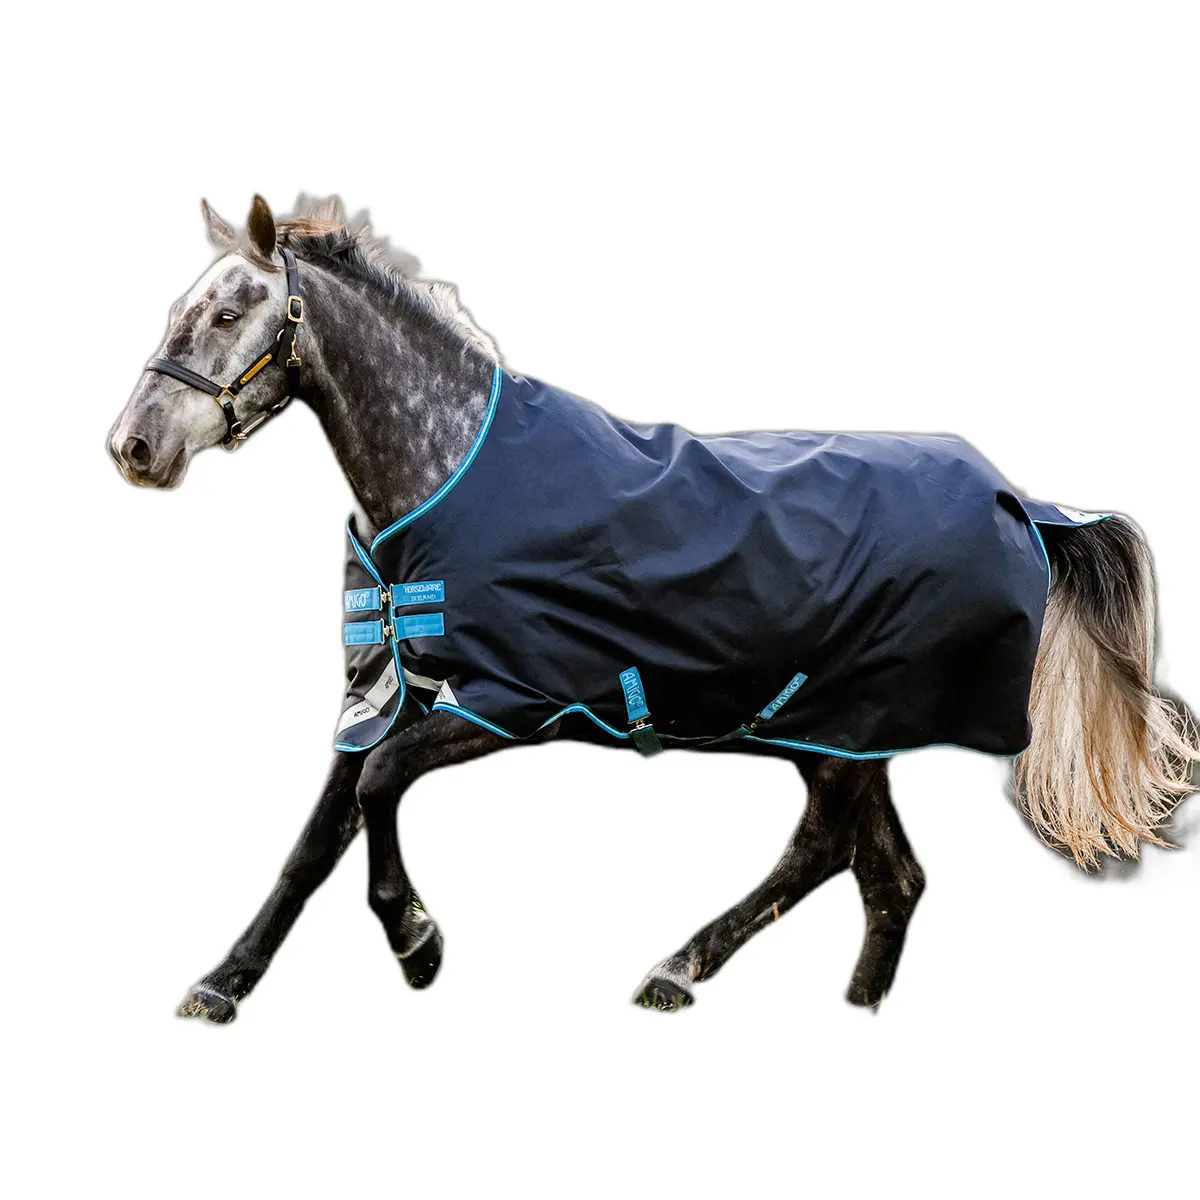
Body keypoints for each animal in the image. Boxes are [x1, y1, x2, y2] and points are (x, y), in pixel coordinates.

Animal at [108, 194, 1199, 1021]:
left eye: (230, 312)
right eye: (181, 305)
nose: (132, 446)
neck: (449, 472)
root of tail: (1025, 503)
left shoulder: (510, 706)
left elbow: (378, 789)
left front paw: (418, 944)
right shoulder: (393, 694)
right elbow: (313, 841)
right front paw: (222, 984)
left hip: (845, 730)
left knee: (828, 855)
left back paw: (677, 969)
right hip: (843, 733)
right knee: (888, 879)